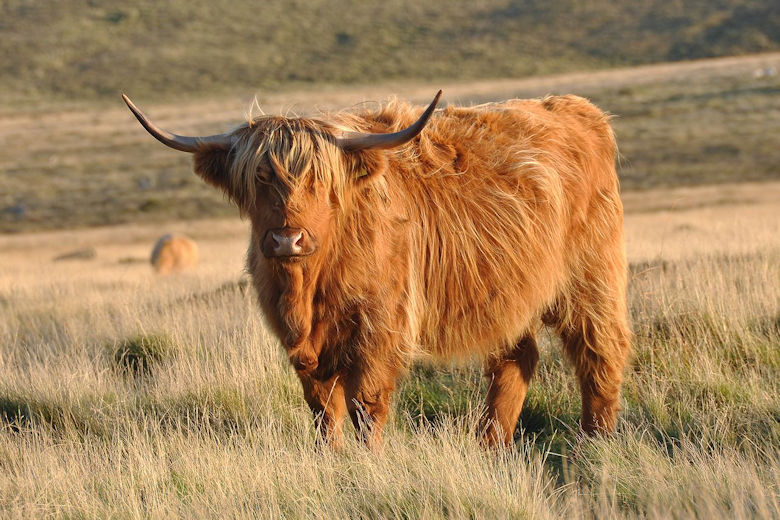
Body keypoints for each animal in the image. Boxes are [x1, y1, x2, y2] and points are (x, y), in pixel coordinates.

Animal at [125, 90, 632, 446]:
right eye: (261, 177)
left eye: (319, 180)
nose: (287, 239)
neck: (308, 290)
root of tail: (578, 110)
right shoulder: (302, 345)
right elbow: (323, 410)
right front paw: (329, 462)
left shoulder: (380, 328)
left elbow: (365, 407)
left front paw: (368, 464)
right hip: (509, 292)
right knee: (515, 360)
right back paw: (490, 445)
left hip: (591, 278)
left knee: (600, 353)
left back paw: (595, 443)